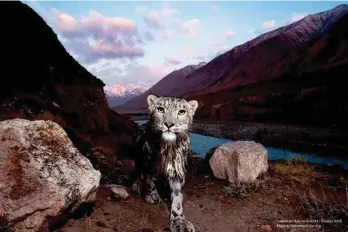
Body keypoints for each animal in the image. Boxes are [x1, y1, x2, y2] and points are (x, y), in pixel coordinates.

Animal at [131, 94, 197, 232]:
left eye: (182, 111)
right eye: (160, 109)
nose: (169, 124)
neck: (167, 148)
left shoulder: (177, 169)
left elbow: (176, 196)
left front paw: (179, 222)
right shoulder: (148, 162)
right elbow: (149, 179)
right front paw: (153, 196)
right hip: (138, 159)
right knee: (139, 173)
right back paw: (136, 186)